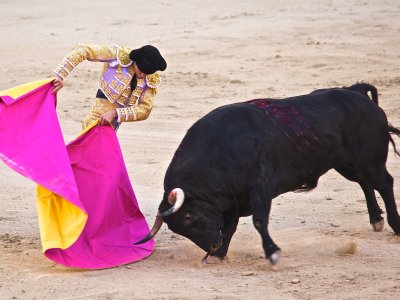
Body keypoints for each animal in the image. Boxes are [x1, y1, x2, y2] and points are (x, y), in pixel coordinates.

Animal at [135, 83, 400, 264]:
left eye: (189, 217)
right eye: (178, 228)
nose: (212, 246)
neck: (221, 151)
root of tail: (356, 92)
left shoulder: (259, 187)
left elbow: (259, 221)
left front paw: (272, 253)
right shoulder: (232, 200)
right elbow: (229, 227)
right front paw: (219, 256)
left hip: (370, 159)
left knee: (384, 183)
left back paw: (395, 225)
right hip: (347, 163)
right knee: (365, 183)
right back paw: (376, 219)